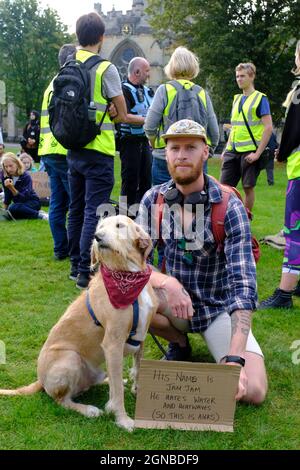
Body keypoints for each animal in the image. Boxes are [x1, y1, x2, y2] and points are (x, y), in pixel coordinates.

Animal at [0, 215, 158, 432]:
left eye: (119, 226)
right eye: (100, 226)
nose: (97, 237)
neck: (127, 274)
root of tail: (40, 380)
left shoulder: (141, 336)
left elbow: (137, 369)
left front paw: (136, 389)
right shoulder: (113, 343)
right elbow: (118, 392)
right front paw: (123, 420)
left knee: (102, 381)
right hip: (70, 358)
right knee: (62, 400)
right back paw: (88, 409)